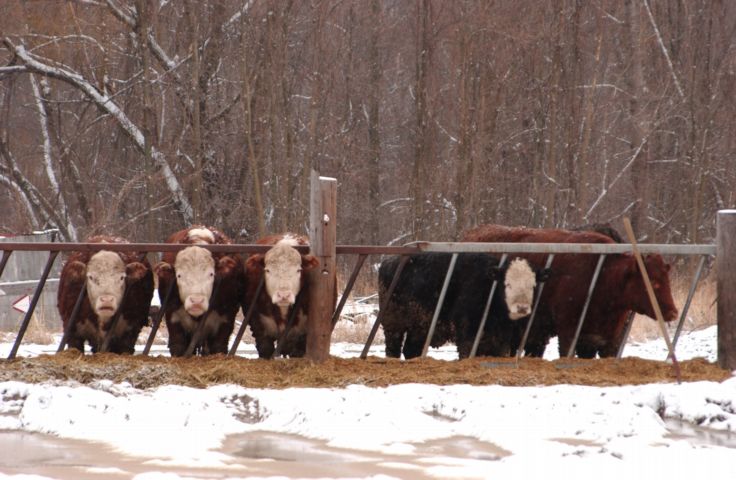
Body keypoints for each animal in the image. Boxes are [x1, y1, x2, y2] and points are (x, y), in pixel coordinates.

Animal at [155, 226, 247, 356]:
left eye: (211, 274)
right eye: (179, 275)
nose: (197, 301)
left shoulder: (225, 320)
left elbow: (218, 347)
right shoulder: (173, 317)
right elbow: (178, 346)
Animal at [380, 251, 548, 360]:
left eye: (533, 285)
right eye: (508, 284)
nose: (522, 307)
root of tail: (389, 261)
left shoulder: (501, 342)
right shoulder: (467, 334)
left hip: (420, 327)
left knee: (411, 349)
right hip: (392, 324)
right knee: (393, 348)